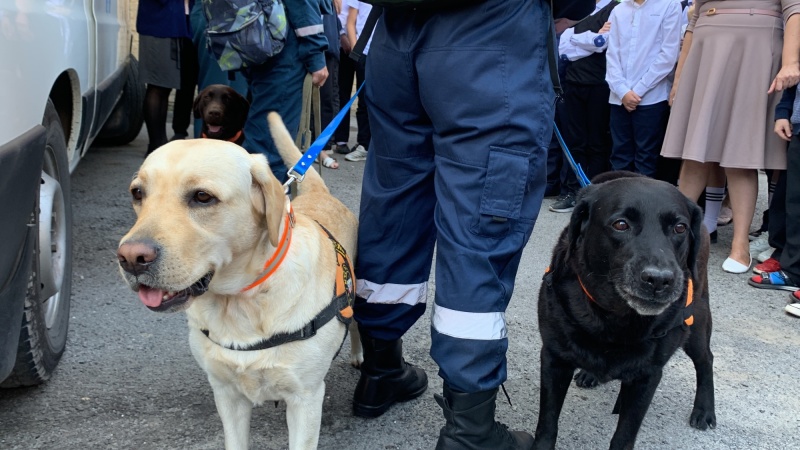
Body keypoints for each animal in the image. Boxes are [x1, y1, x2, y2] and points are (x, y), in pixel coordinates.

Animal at [536, 171, 716, 450]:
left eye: (680, 228)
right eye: (621, 224)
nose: (659, 280)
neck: (615, 319)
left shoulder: (648, 377)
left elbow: (624, 435)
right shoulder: (554, 360)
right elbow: (547, 426)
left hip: (696, 320)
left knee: (706, 359)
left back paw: (704, 410)